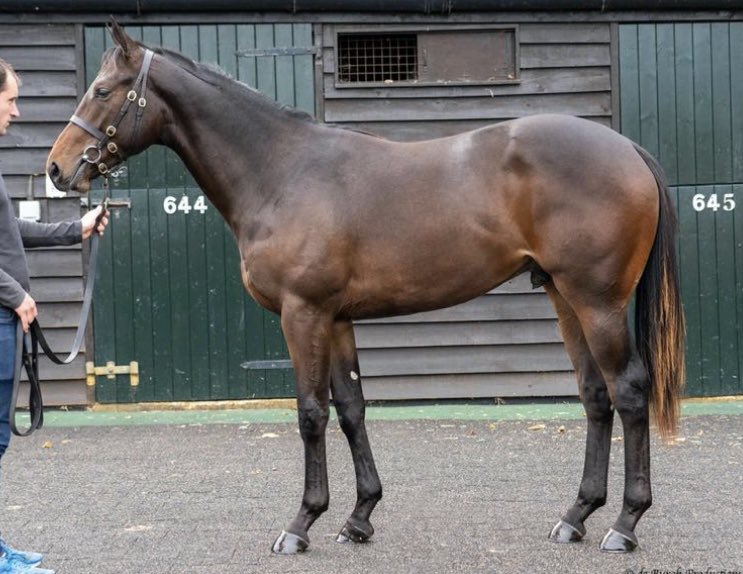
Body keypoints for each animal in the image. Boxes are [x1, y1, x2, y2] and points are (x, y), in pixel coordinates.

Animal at [47, 21, 685, 555]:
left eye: (102, 90)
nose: (57, 169)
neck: (282, 171)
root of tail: (626, 149)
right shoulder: (335, 318)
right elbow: (351, 408)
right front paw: (358, 518)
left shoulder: (302, 314)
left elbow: (310, 412)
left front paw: (301, 524)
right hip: (564, 298)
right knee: (595, 396)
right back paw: (575, 517)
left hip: (597, 302)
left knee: (629, 392)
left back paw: (625, 525)